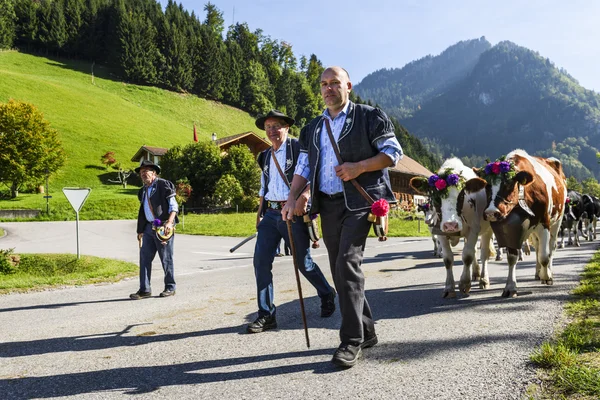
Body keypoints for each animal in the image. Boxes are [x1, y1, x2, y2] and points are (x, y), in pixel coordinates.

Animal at [410, 156, 494, 296]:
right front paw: (449, 287)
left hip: (487, 230)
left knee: (483, 254)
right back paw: (476, 273)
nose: (451, 225)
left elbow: (467, 256)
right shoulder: (440, 233)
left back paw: (483, 279)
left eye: (462, 194)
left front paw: (464, 284)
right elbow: (448, 259)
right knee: (475, 251)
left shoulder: (474, 230)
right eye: (435, 196)